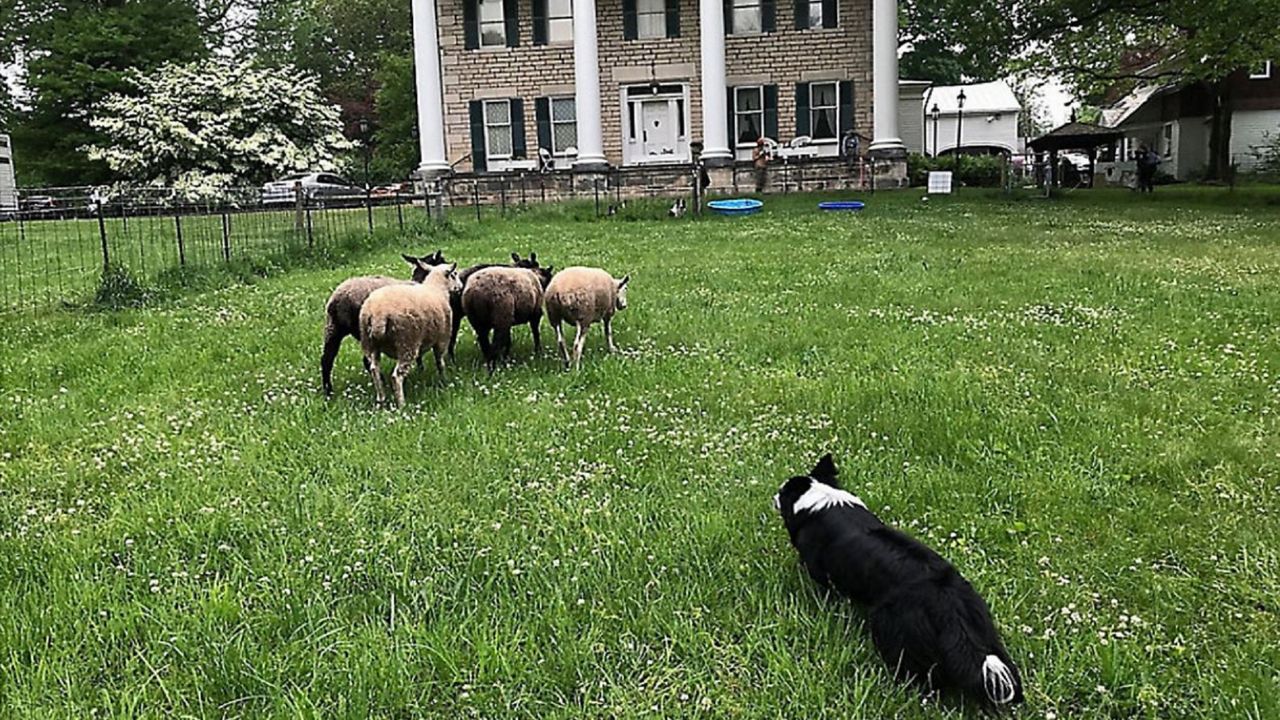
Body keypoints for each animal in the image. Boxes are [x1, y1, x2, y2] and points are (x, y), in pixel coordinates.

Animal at [320, 249, 445, 394]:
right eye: (441, 261)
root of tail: (341, 300)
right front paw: (421, 369)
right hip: (362, 331)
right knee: (366, 361)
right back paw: (383, 381)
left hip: (333, 327)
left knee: (326, 359)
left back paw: (328, 391)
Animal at [358, 262, 463, 409]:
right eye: (454, 274)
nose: (461, 287)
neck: (437, 289)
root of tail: (378, 314)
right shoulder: (442, 339)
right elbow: (440, 362)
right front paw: (444, 380)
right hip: (407, 342)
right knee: (396, 376)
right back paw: (402, 404)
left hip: (370, 343)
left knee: (374, 370)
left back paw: (381, 399)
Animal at [773, 453, 1024, 707]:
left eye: (782, 492)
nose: (773, 496)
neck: (820, 497)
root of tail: (947, 600)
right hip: (983, 630)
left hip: (892, 628)